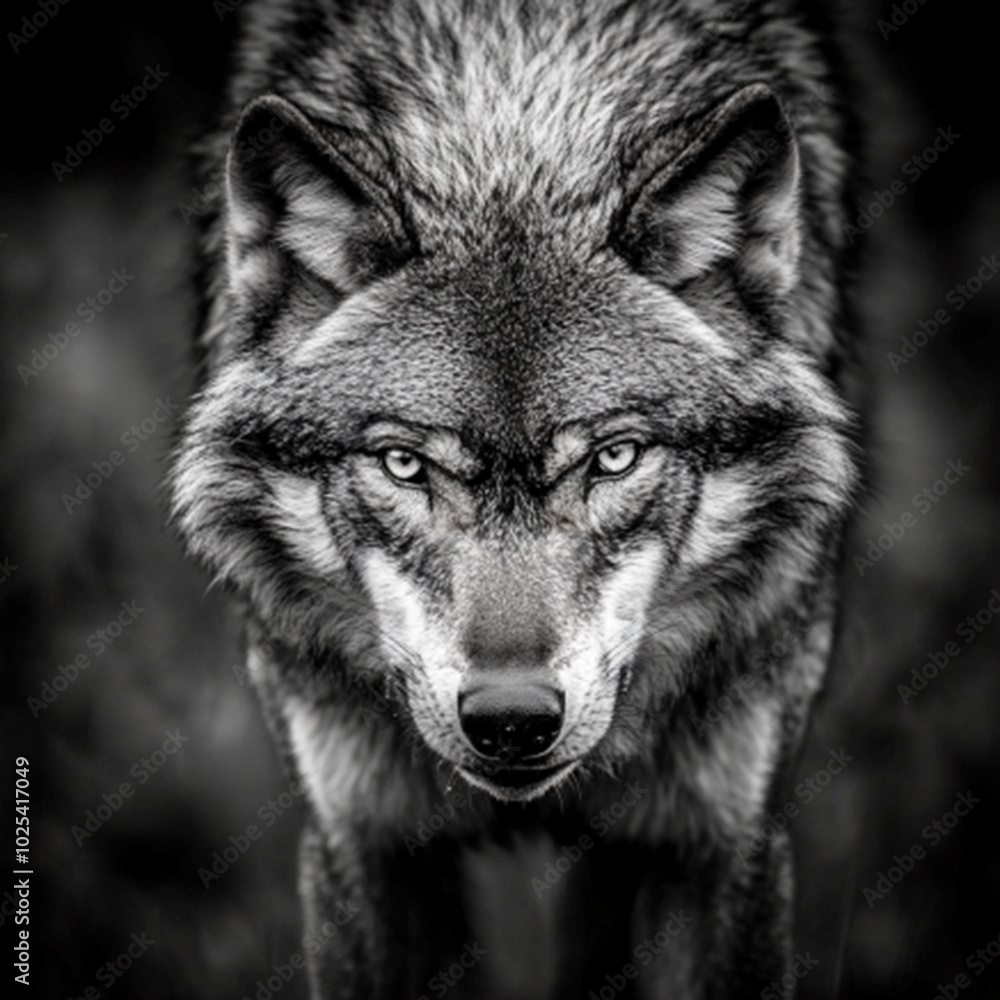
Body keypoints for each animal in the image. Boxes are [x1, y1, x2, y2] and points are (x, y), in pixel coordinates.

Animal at [171, 1, 860, 996]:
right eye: (403, 465)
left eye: (614, 457)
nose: (510, 722)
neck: (512, 141)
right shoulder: (364, 844)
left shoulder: (724, 841)